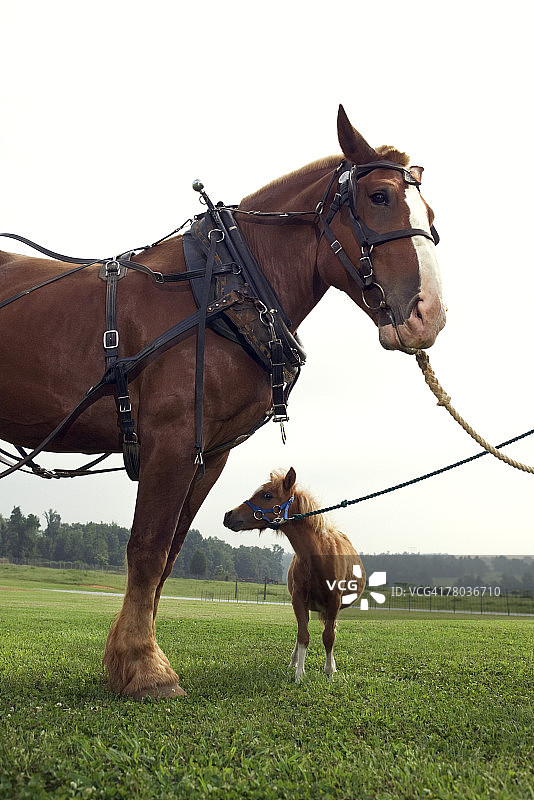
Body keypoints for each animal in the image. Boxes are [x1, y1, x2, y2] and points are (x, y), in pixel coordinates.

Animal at [223, 467, 366, 681]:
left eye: (267, 495)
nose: (228, 515)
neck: (319, 556)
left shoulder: (334, 600)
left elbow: (328, 636)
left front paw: (329, 672)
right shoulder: (298, 599)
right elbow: (303, 636)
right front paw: (299, 673)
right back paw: (294, 661)